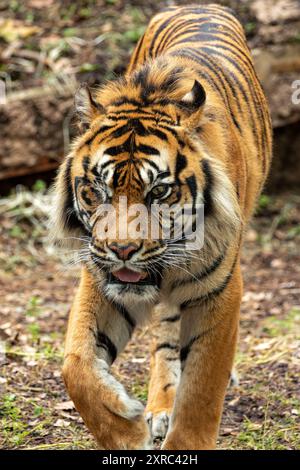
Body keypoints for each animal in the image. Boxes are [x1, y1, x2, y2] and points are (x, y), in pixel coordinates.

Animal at [51, 4, 272, 452]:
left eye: (160, 191)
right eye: (95, 190)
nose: (121, 250)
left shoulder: (219, 290)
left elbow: (202, 387)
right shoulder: (102, 278)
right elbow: (76, 365)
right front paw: (126, 430)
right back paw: (159, 408)